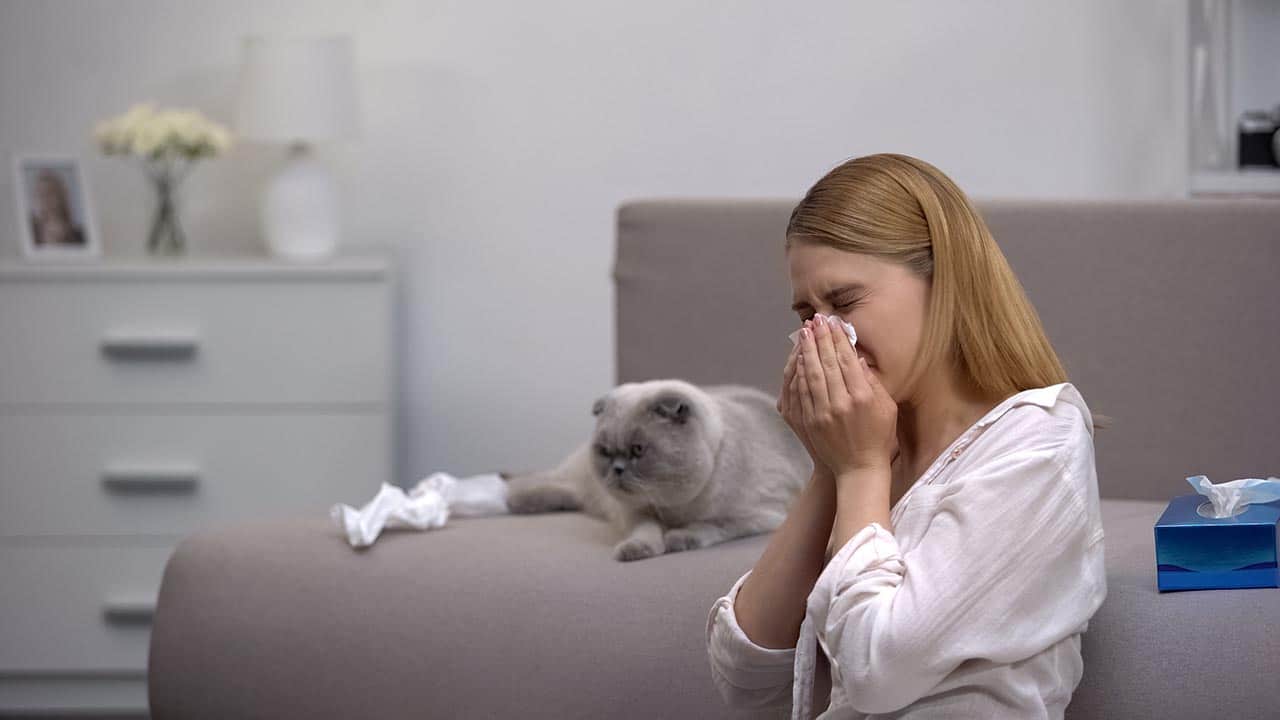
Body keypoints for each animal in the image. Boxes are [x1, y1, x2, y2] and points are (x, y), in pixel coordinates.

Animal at [499, 379, 808, 558]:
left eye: (638, 450)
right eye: (605, 451)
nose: (617, 469)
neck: (674, 508)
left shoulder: (762, 516)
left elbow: (709, 525)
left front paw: (677, 540)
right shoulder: (634, 511)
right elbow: (646, 531)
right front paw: (636, 550)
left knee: (568, 492)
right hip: (584, 481)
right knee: (549, 481)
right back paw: (513, 498)